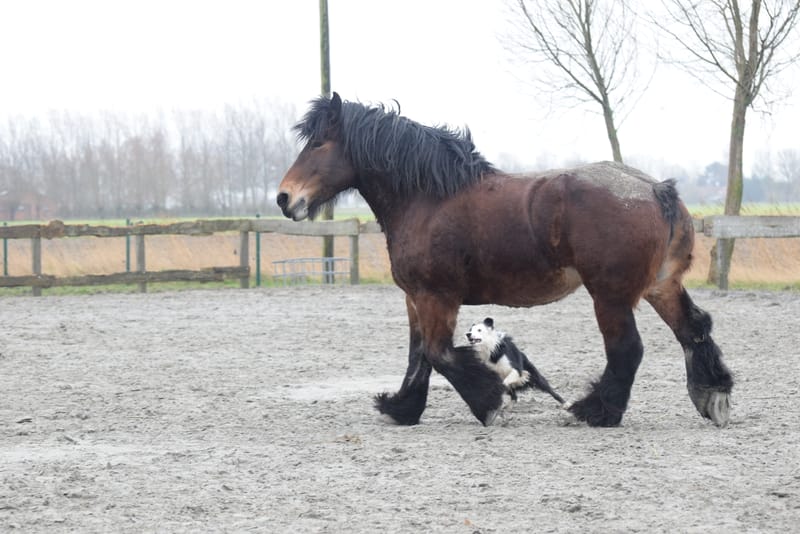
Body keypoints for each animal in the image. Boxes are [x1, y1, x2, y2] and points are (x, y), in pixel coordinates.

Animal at [277, 92, 733, 428]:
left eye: (318, 143)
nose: (284, 198)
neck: (427, 198)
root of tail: (656, 190)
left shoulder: (436, 296)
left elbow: (439, 354)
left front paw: (489, 403)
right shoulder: (414, 298)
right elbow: (417, 355)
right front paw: (402, 408)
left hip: (610, 296)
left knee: (627, 349)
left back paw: (595, 411)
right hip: (661, 286)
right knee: (693, 328)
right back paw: (712, 394)